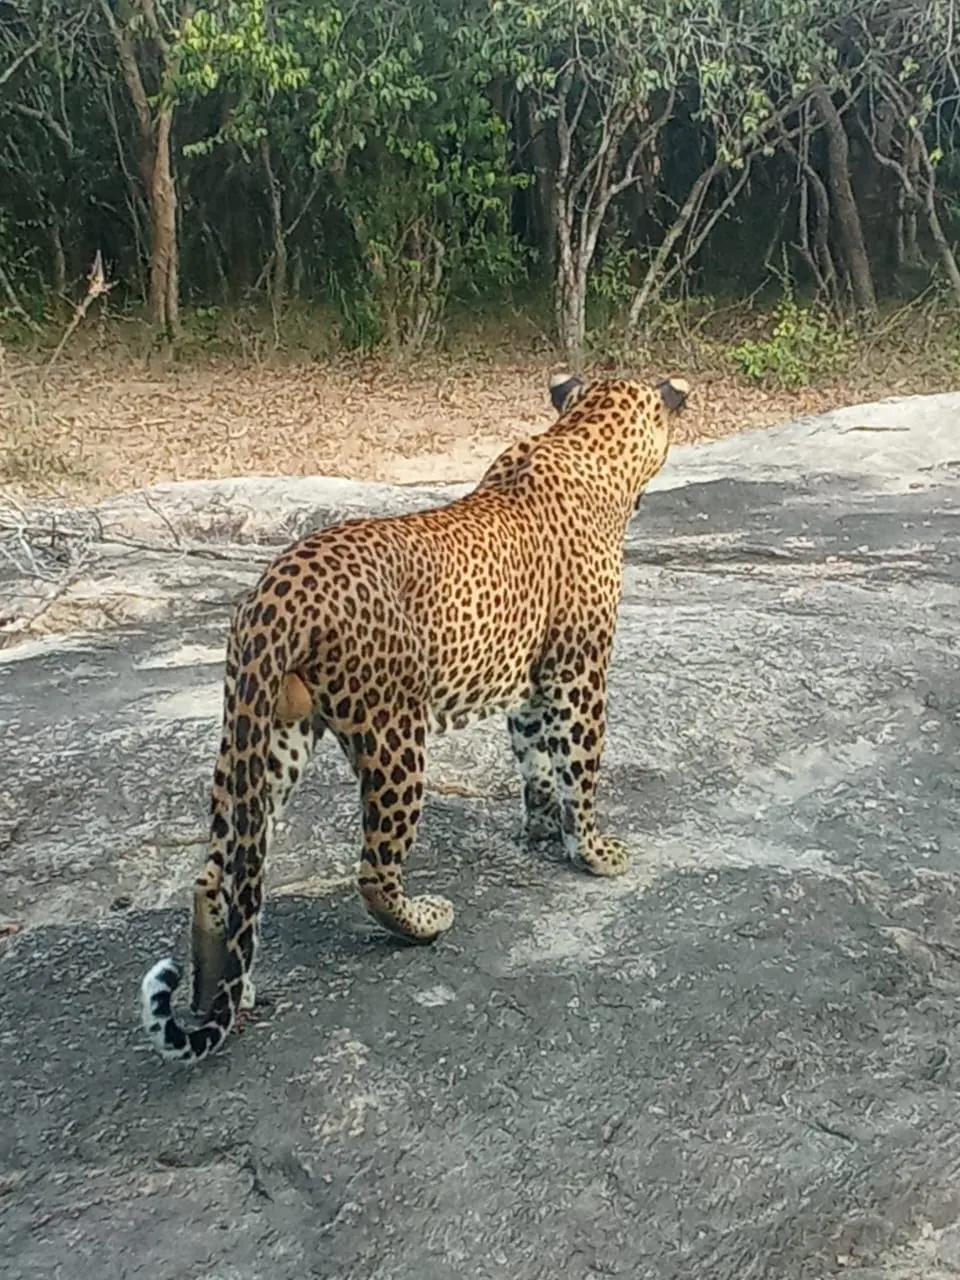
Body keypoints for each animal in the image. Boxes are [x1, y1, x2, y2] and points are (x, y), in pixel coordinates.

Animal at [140, 370, 690, 1063]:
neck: (581, 438)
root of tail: (275, 594)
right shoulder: (578, 673)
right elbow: (579, 768)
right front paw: (593, 852)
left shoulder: (531, 681)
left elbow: (536, 761)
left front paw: (541, 830)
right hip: (392, 732)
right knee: (374, 870)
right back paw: (425, 921)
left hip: (263, 733)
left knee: (218, 873)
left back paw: (226, 994)